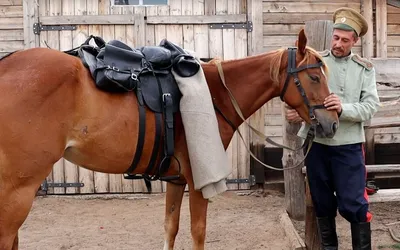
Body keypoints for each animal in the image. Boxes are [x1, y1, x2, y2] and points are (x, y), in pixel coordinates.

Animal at [0, 28, 340, 249]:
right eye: (314, 76)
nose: (332, 123)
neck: (214, 93)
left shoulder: (176, 180)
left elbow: (171, 228)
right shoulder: (198, 180)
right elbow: (198, 231)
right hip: (18, 190)